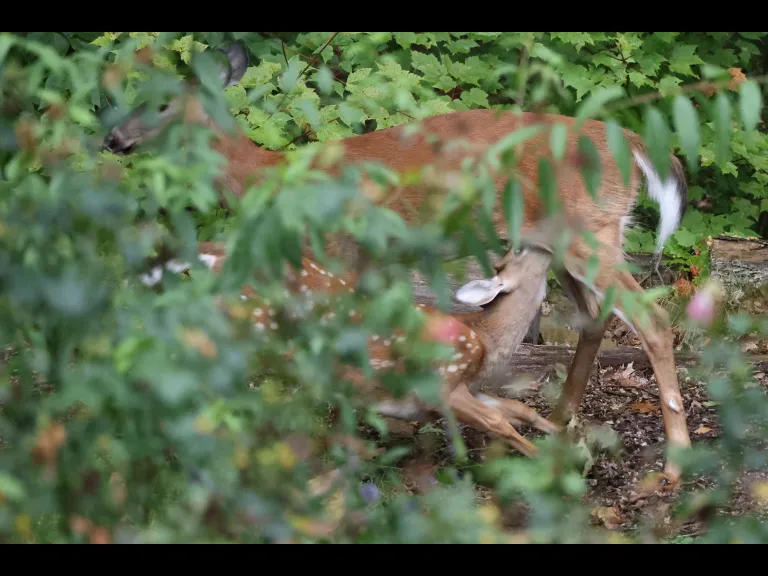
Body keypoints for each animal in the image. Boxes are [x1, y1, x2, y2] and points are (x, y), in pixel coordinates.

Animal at [138, 220, 571, 459]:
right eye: (517, 248)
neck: (483, 339)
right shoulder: (440, 384)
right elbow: (500, 422)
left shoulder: (466, 386)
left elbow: (517, 409)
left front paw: (566, 435)